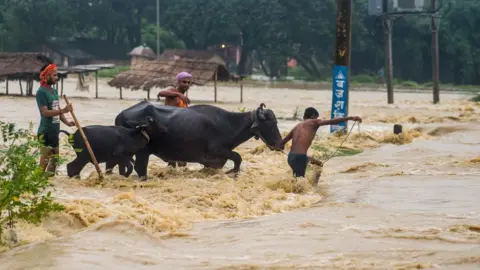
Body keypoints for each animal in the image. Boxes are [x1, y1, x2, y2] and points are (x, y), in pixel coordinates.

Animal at [110, 101, 284, 179]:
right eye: (270, 123)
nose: (280, 144)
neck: (229, 123)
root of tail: (121, 114)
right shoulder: (216, 150)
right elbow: (237, 157)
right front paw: (232, 172)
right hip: (142, 151)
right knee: (140, 167)